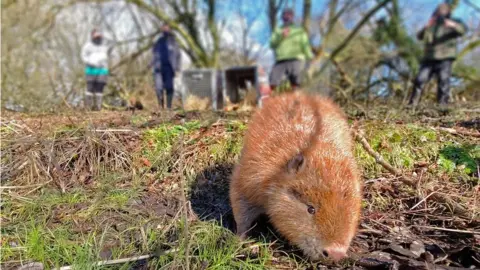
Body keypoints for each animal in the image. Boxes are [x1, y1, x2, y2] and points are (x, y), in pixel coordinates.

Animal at [231, 91, 362, 262]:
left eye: (349, 207)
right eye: (310, 209)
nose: (335, 253)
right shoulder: (252, 173)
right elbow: (240, 203)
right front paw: (240, 240)